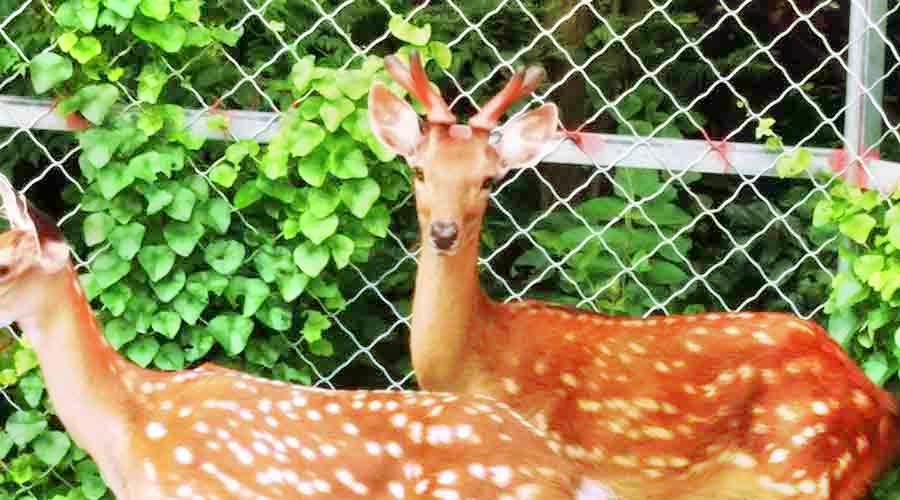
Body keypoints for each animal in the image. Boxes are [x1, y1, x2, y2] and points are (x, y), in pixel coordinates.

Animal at [366, 51, 900, 500]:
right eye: (419, 170)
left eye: (487, 179)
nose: (444, 232)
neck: (473, 363)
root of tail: (879, 403)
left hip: (803, 468)